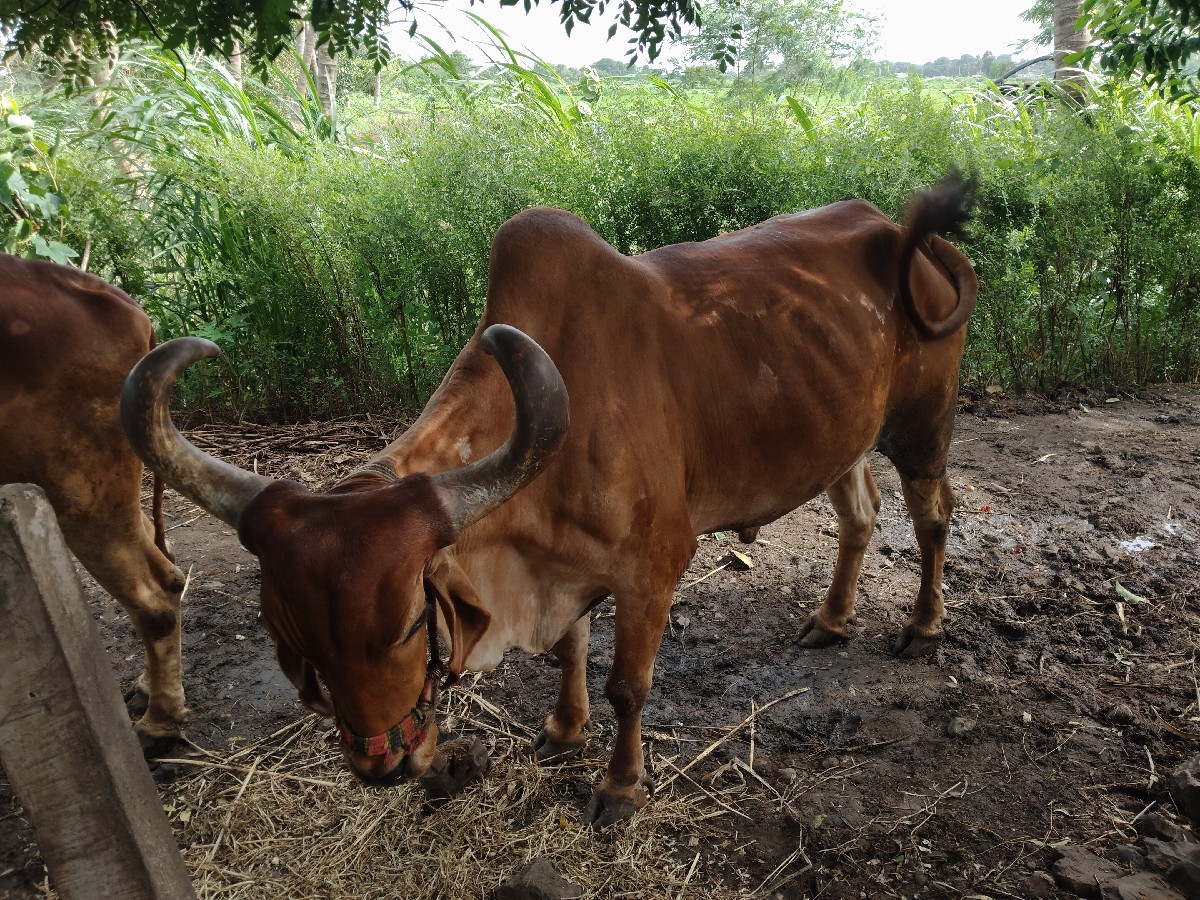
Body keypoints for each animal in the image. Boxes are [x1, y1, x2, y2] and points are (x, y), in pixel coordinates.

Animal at [122, 172, 978, 827]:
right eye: (291, 633)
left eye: (408, 626)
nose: (382, 763)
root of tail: (897, 232)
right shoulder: (564, 568)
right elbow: (570, 648)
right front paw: (565, 731)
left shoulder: (653, 568)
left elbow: (629, 687)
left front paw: (619, 788)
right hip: (843, 435)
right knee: (860, 516)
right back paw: (830, 620)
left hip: (922, 426)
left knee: (933, 519)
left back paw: (923, 625)